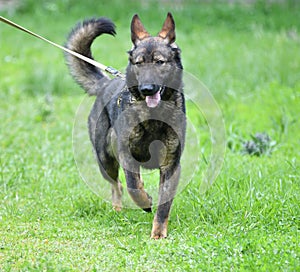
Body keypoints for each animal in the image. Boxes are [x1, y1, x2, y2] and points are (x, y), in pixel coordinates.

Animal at [65, 12, 185, 238]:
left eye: (160, 62)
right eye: (139, 63)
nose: (147, 89)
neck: (153, 116)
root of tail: (106, 83)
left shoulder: (170, 165)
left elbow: (164, 204)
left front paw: (158, 233)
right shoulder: (126, 155)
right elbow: (133, 186)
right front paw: (145, 202)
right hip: (105, 159)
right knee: (117, 185)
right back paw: (117, 209)